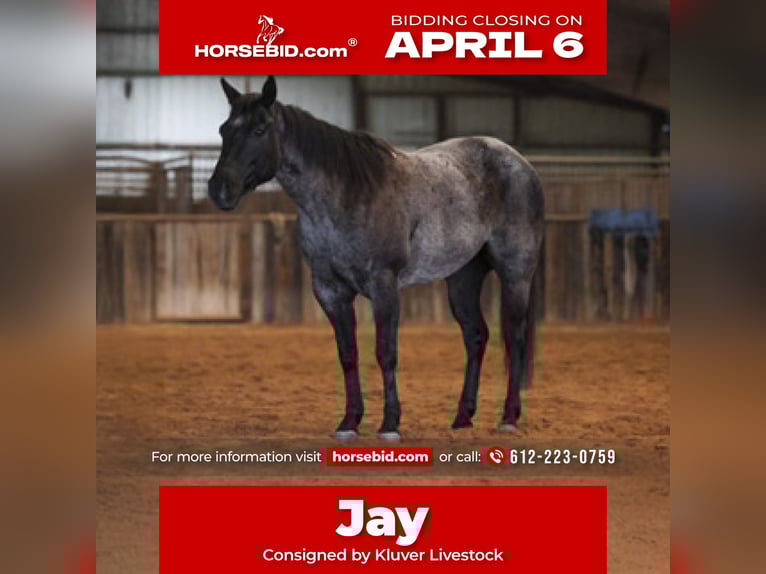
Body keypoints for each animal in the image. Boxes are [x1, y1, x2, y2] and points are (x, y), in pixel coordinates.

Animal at [208, 76, 544, 441]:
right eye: (224, 129)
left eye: (259, 129)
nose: (219, 189)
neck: (346, 196)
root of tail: (521, 164)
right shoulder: (330, 291)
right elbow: (348, 355)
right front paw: (349, 422)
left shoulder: (384, 287)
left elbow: (386, 353)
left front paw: (390, 424)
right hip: (462, 278)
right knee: (475, 336)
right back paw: (462, 418)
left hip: (515, 275)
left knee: (514, 338)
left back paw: (509, 418)